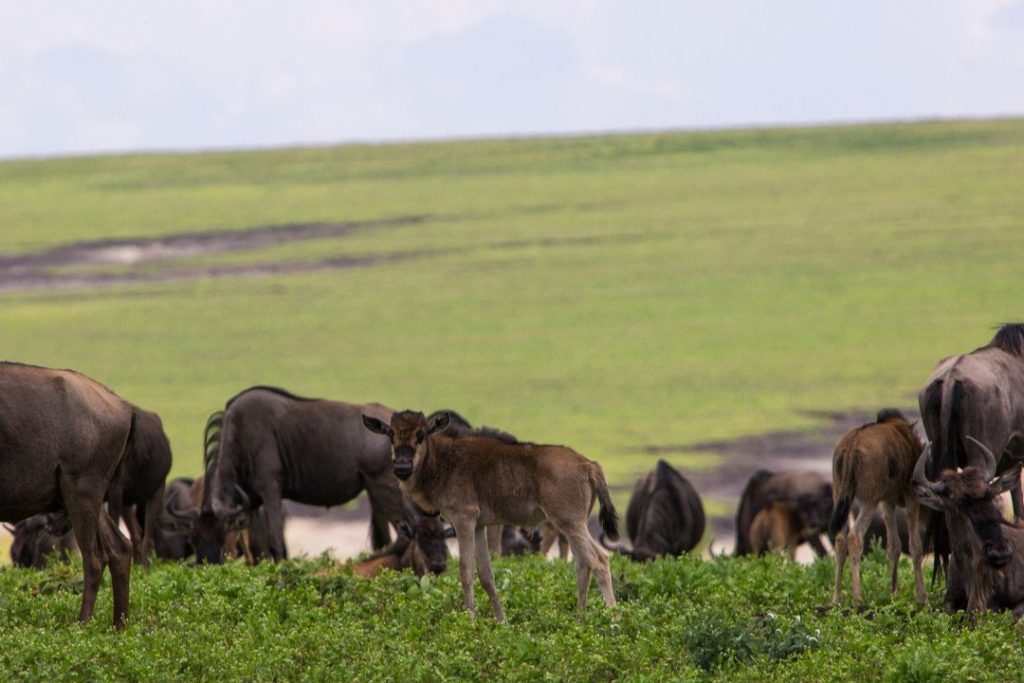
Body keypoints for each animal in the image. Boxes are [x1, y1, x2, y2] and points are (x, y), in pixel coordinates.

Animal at [364, 409, 618, 622]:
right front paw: (501, 621)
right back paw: (579, 619)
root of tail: (589, 465)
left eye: (421, 434)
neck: (445, 461)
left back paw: (613, 618)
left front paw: (471, 620)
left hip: (570, 523)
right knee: (583, 564)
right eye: (391, 435)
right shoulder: (479, 527)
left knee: (599, 560)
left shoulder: (463, 521)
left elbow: (466, 571)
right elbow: (487, 575)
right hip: (573, 525)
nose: (402, 468)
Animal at [823, 409, 929, 606]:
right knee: (854, 536)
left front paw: (893, 592)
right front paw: (922, 598)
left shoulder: (887, 502)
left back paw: (837, 599)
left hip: (840, 496)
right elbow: (915, 546)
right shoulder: (911, 498)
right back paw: (857, 598)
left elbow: (894, 545)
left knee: (840, 539)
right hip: (868, 501)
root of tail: (850, 447)